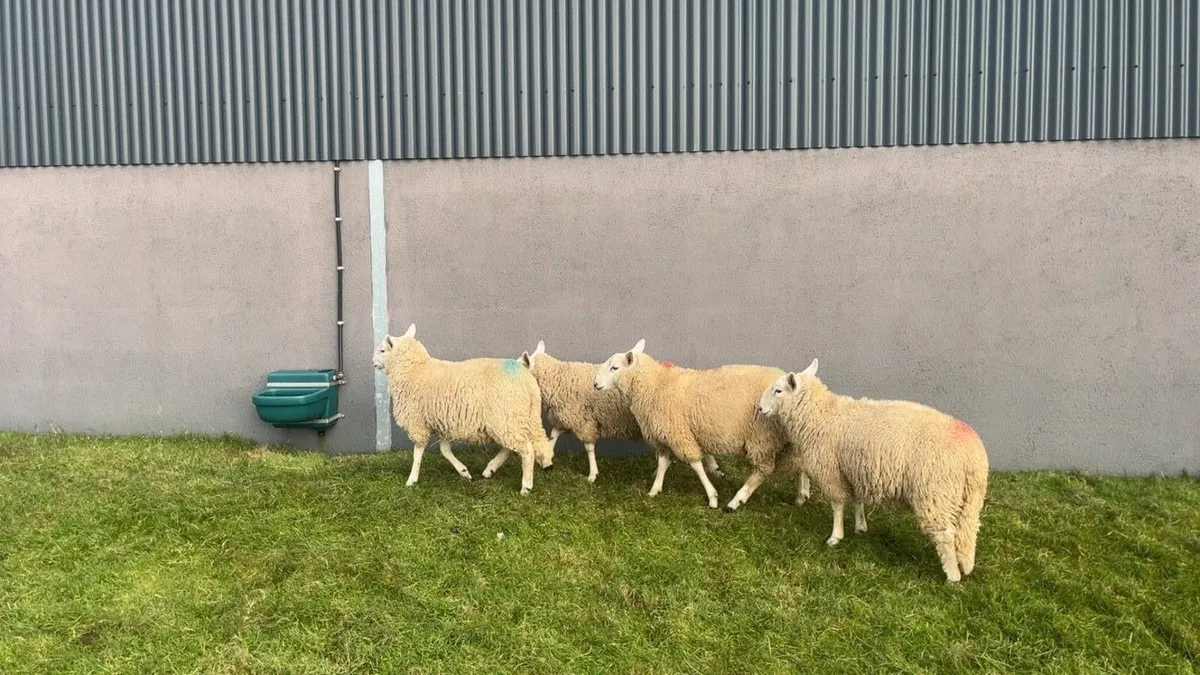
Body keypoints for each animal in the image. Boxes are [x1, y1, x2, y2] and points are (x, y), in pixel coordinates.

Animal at [372, 323, 554, 495]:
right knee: (513, 447)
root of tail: (529, 383)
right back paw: (490, 469)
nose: (373, 362)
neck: (415, 370)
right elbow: (445, 450)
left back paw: (526, 487)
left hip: (506, 418)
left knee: (526, 451)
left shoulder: (418, 422)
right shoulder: (446, 423)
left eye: (382, 350)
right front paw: (464, 471)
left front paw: (412, 479)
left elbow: (418, 453)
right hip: (515, 419)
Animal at [516, 340, 646, 483]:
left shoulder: (583, 421)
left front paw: (592, 474)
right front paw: (547, 458)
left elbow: (589, 448)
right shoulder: (569, 417)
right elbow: (553, 435)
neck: (558, 380)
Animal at [593, 339, 806, 512]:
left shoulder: (679, 434)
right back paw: (801, 495)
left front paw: (712, 497)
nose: (595, 384)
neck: (655, 385)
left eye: (614, 368)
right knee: (800, 462)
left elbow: (696, 465)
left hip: (762, 437)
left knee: (763, 470)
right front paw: (655, 489)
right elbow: (663, 463)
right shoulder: (665, 435)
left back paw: (736, 500)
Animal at [758, 359, 989, 583]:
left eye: (778, 390)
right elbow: (857, 500)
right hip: (969, 498)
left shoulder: (830, 471)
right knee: (967, 531)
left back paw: (952, 577)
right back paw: (965, 566)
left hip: (936, 493)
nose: (759, 408)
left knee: (945, 534)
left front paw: (835, 537)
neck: (823, 415)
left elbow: (837, 505)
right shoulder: (854, 471)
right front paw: (860, 527)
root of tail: (973, 457)